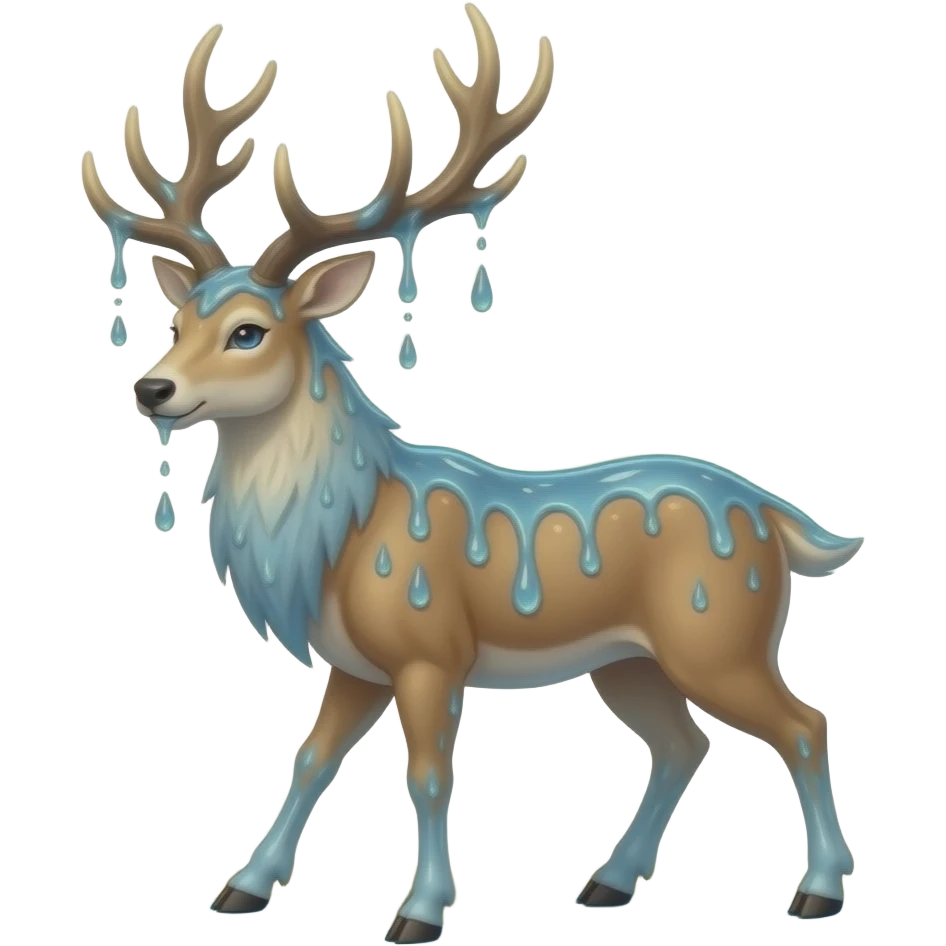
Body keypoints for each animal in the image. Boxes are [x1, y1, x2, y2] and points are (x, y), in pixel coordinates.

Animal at [80, 5, 861, 940]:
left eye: (246, 331)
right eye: (176, 319)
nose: (151, 388)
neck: (337, 539)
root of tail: (773, 514)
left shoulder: (431, 650)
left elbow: (425, 775)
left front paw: (419, 911)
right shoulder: (356, 664)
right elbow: (308, 761)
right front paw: (243, 888)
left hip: (717, 632)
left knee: (804, 723)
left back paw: (818, 891)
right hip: (627, 659)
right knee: (683, 742)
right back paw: (607, 882)